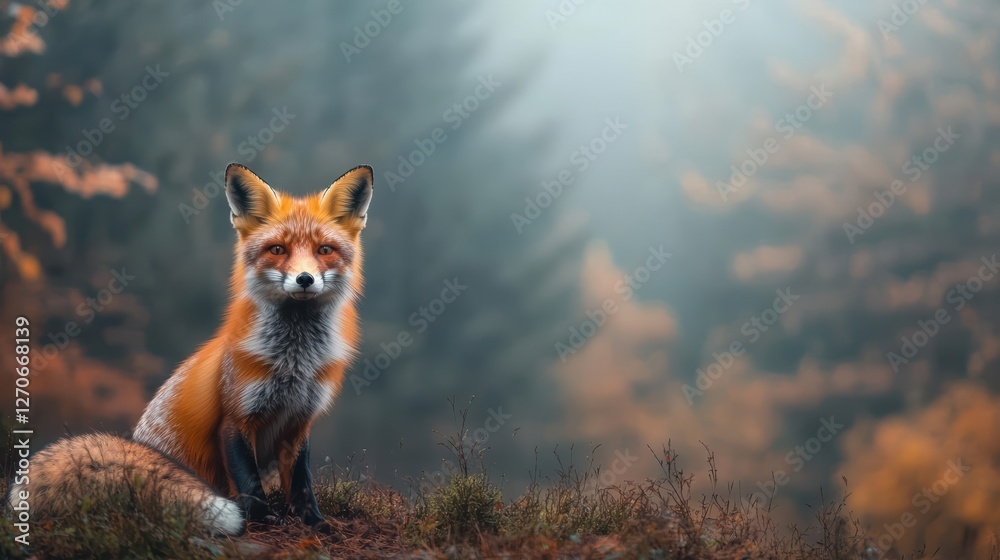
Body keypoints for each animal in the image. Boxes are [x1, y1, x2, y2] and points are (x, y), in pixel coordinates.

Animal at [7, 163, 373, 535]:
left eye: (324, 250)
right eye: (277, 250)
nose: (304, 279)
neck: (294, 362)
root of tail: (135, 444)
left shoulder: (299, 422)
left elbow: (302, 482)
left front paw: (314, 522)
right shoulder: (235, 418)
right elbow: (248, 480)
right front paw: (260, 517)